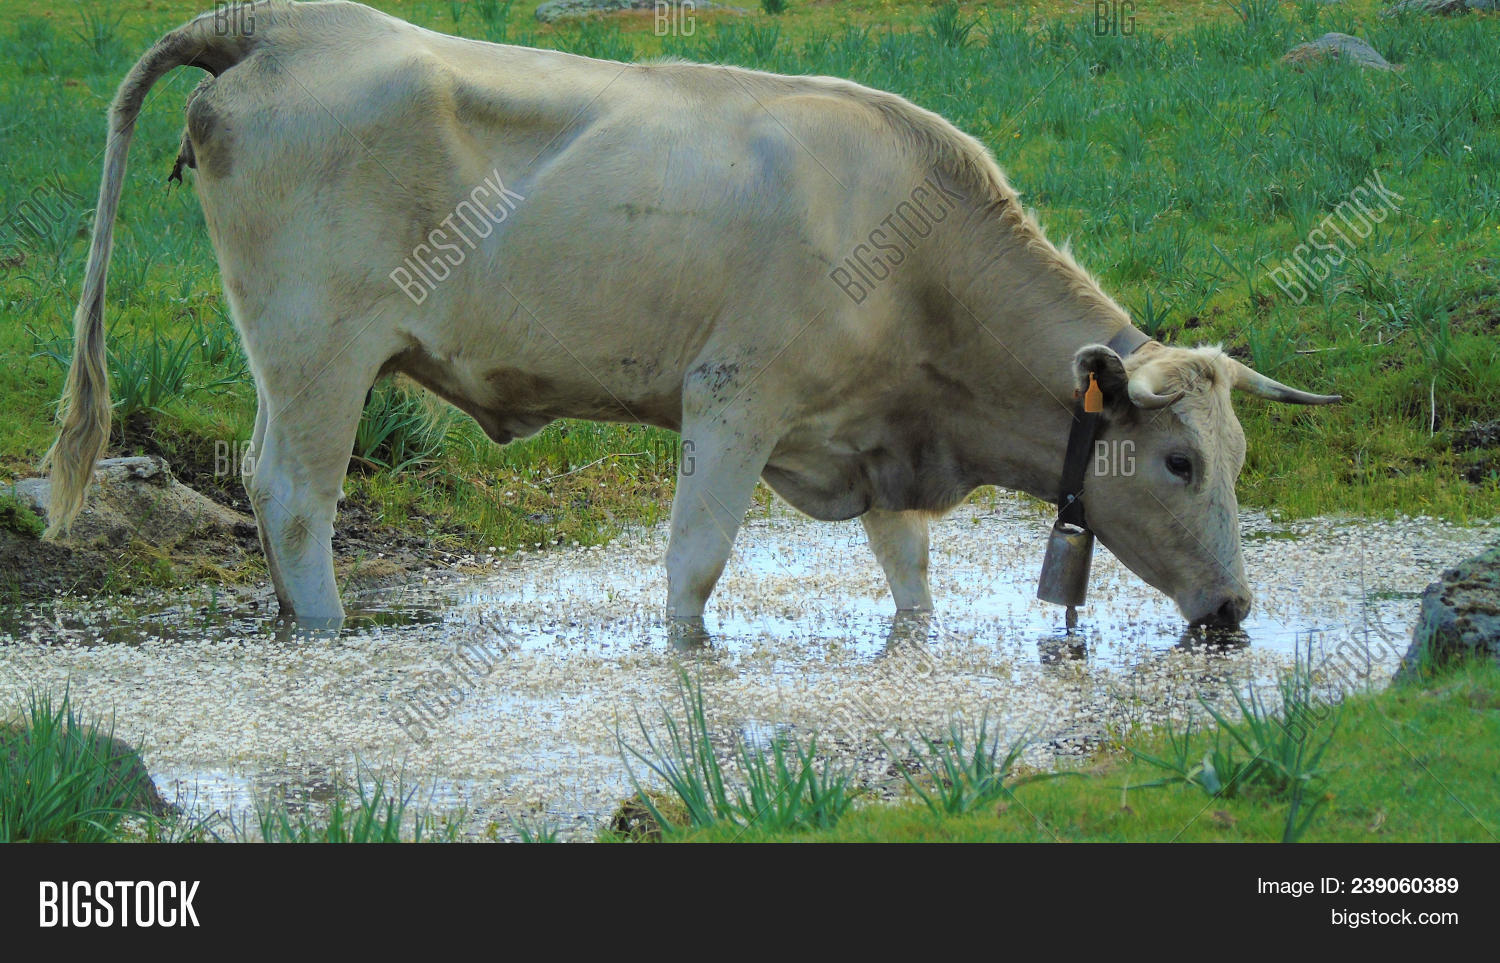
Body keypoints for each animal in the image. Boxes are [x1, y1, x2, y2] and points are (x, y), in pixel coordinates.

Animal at [43, 0, 1339, 632]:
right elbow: (693, 569)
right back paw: (322, 631)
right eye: (1178, 462)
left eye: (1236, 459)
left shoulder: (876, 438)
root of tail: (280, 24)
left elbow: (910, 581)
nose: (1236, 610)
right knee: (296, 493)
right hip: (320, 350)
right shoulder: (734, 400)